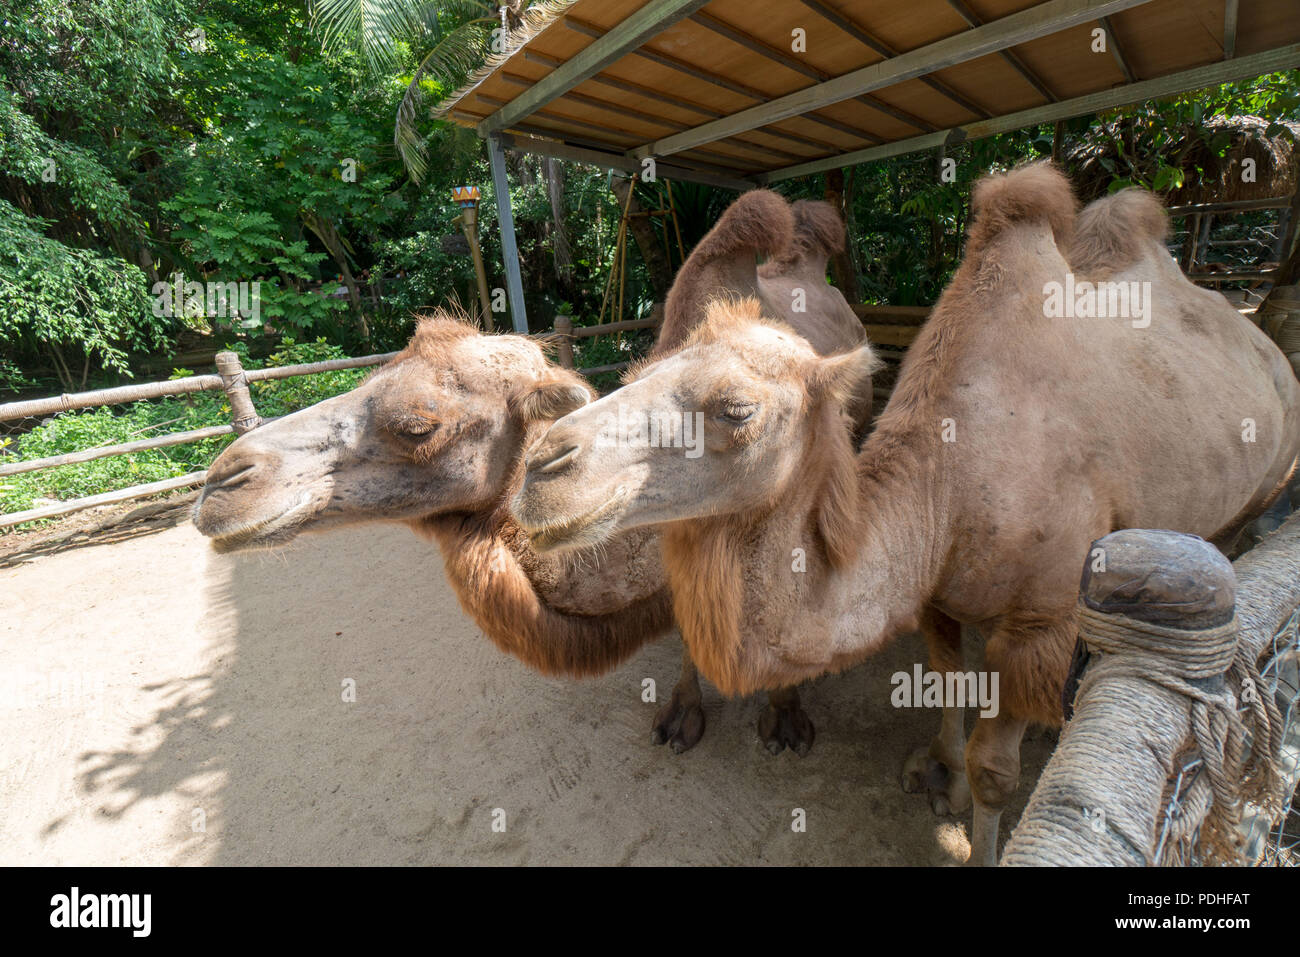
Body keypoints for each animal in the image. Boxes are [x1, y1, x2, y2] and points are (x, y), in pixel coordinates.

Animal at [512, 164, 1300, 868]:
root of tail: (1260, 337)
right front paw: (936, 772)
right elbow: (947, 681)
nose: (541, 465)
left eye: (736, 409)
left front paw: (976, 832)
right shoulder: (938, 591)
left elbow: (996, 770)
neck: (948, 486)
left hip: (1266, 478)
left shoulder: (1039, 622)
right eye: (639, 373)